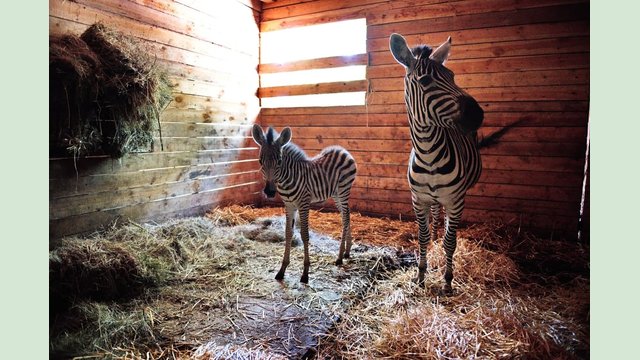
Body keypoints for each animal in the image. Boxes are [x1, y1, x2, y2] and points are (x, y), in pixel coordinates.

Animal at [252, 125, 358, 282]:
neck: (287, 179)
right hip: (336, 194)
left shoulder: (303, 204)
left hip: (343, 190)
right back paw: (347, 251)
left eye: (279, 161)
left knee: (345, 218)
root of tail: (342, 149)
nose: (270, 192)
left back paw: (339, 257)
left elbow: (304, 235)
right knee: (347, 214)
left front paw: (305, 273)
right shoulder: (289, 205)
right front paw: (282, 270)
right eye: (260, 161)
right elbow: (288, 233)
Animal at [390, 33, 496, 292]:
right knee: (437, 218)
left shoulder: (455, 200)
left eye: (453, 76)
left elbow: (451, 242)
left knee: (447, 224)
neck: (429, 155)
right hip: (434, 198)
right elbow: (423, 236)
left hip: (456, 197)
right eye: (426, 81)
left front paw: (447, 280)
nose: (477, 115)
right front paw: (420, 275)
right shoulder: (418, 200)